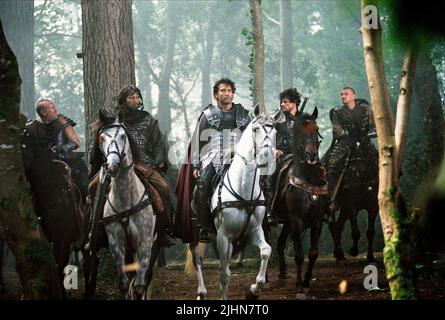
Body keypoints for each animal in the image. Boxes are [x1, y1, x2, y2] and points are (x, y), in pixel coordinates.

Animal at [98, 121, 157, 298]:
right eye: (101, 138)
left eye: (123, 136)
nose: (112, 165)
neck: (126, 201)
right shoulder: (116, 245)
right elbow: (124, 285)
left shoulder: (145, 244)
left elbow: (139, 287)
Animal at [189, 109, 282, 298]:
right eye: (255, 129)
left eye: (274, 131)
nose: (266, 157)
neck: (243, 190)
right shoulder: (223, 236)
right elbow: (225, 275)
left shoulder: (253, 231)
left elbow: (266, 251)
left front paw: (253, 290)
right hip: (197, 232)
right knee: (197, 259)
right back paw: (201, 291)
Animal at [268, 109, 328, 298]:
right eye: (299, 131)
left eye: (316, 129)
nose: (312, 156)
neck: (308, 179)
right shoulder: (297, 221)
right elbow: (299, 255)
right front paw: (300, 285)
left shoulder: (317, 221)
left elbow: (313, 253)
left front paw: (307, 281)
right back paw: (265, 280)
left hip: (287, 223)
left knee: (280, 243)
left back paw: (281, 274)